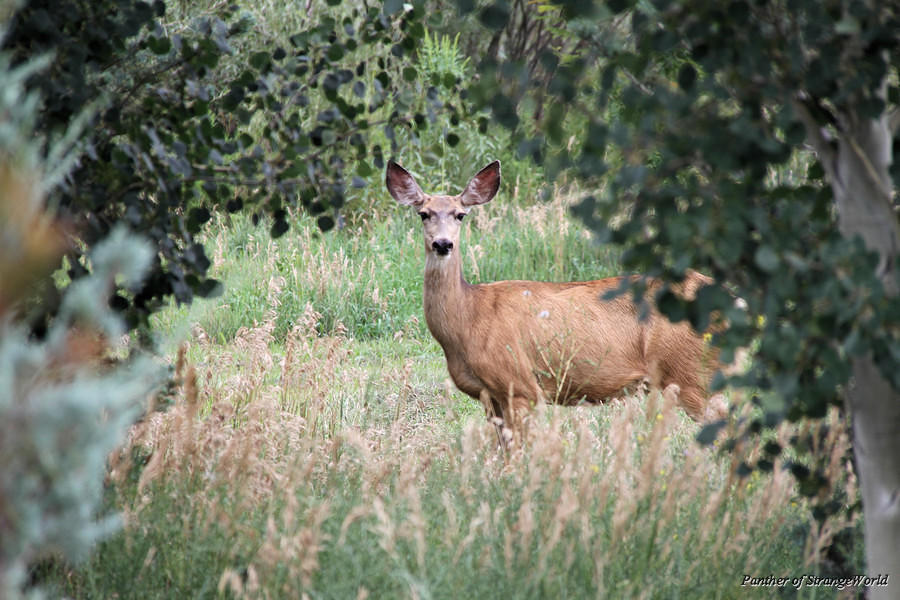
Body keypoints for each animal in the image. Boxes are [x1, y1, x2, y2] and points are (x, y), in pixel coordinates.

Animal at [386, 159, 728, 436]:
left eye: (460, 215)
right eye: (424, 214)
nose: (443, 244)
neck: (468, 319)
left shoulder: (520, 385)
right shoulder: (490, 395)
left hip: (690, 372)